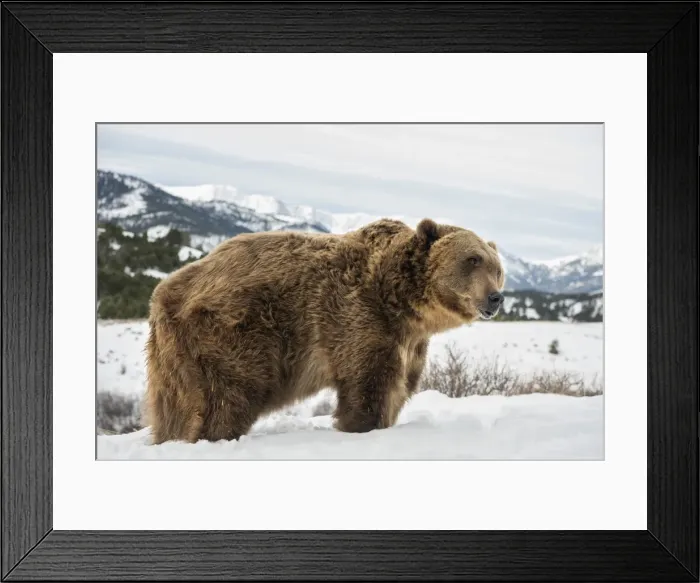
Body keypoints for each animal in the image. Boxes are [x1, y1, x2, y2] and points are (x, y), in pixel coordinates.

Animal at [143, 218, 505, 444]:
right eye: (472, 259)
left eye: (497, 268)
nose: (495, 297)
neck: (402, 303)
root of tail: (163, 293)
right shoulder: (359, 320)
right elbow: (368, 386)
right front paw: (360, 426)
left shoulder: (410, 343)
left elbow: (399, 387)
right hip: (232, 335)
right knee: (226, 399)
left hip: (171, 358)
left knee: (173, 409)